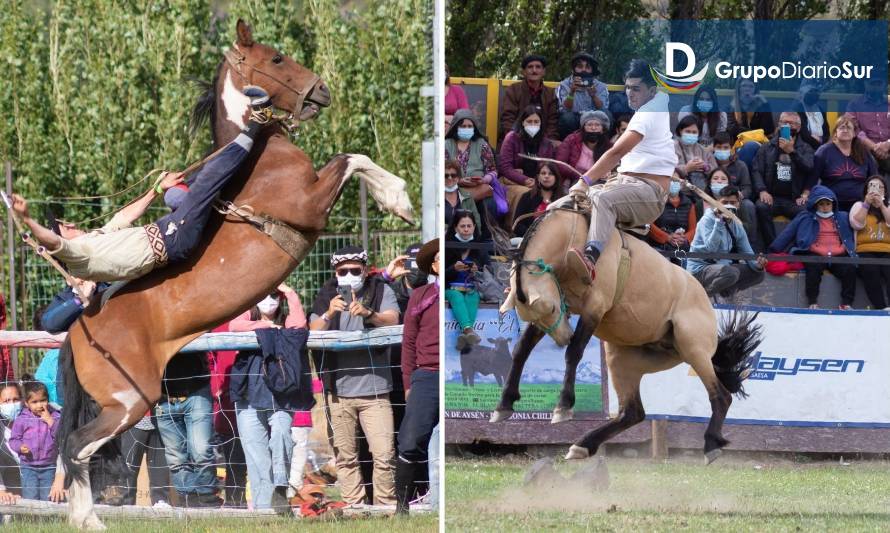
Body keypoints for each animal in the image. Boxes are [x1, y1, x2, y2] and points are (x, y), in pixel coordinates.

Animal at [57, 20, 412, 528]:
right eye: (277, 58)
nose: (321, 90)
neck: (260, 160)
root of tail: (79, 330)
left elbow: (352, 158)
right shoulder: (310, 203)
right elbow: (353, 158)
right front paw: (399, 199)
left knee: (75, 450)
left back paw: (85, 518)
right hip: (129, 401)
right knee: (76, 447)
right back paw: (89, 519)